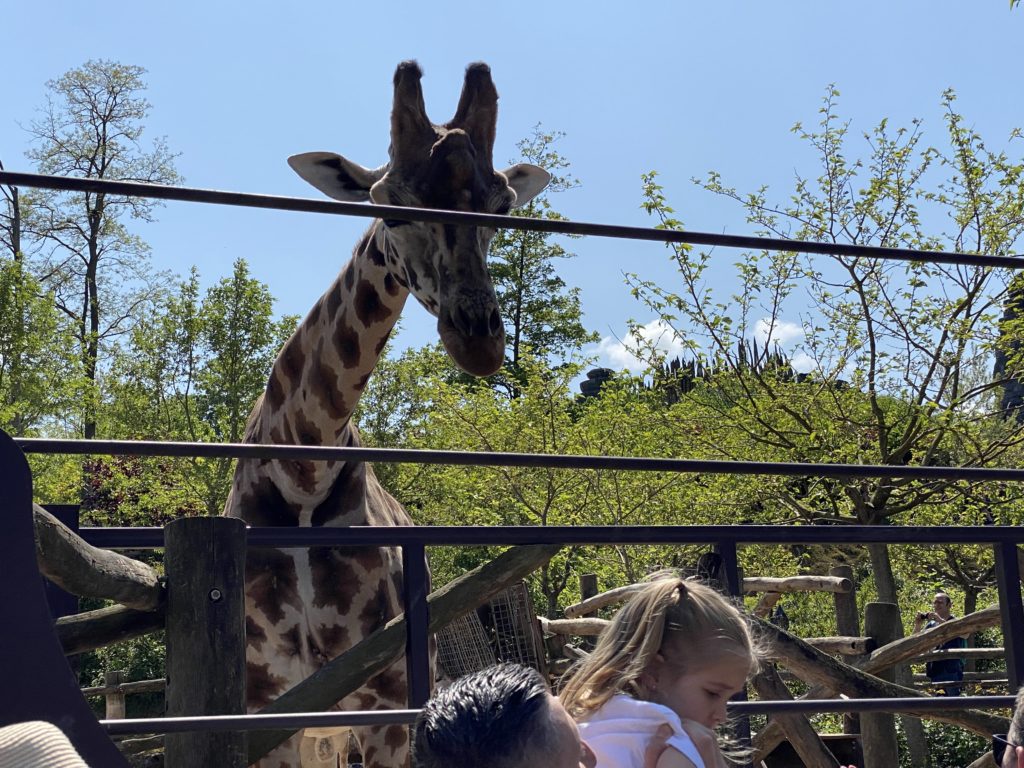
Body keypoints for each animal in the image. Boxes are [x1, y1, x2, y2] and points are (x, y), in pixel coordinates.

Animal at [220, 61, 548, 768]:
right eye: (388, 207)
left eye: (502, 208)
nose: (479, 340)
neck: (302, 479)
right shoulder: (265, 712)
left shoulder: (387, 711)